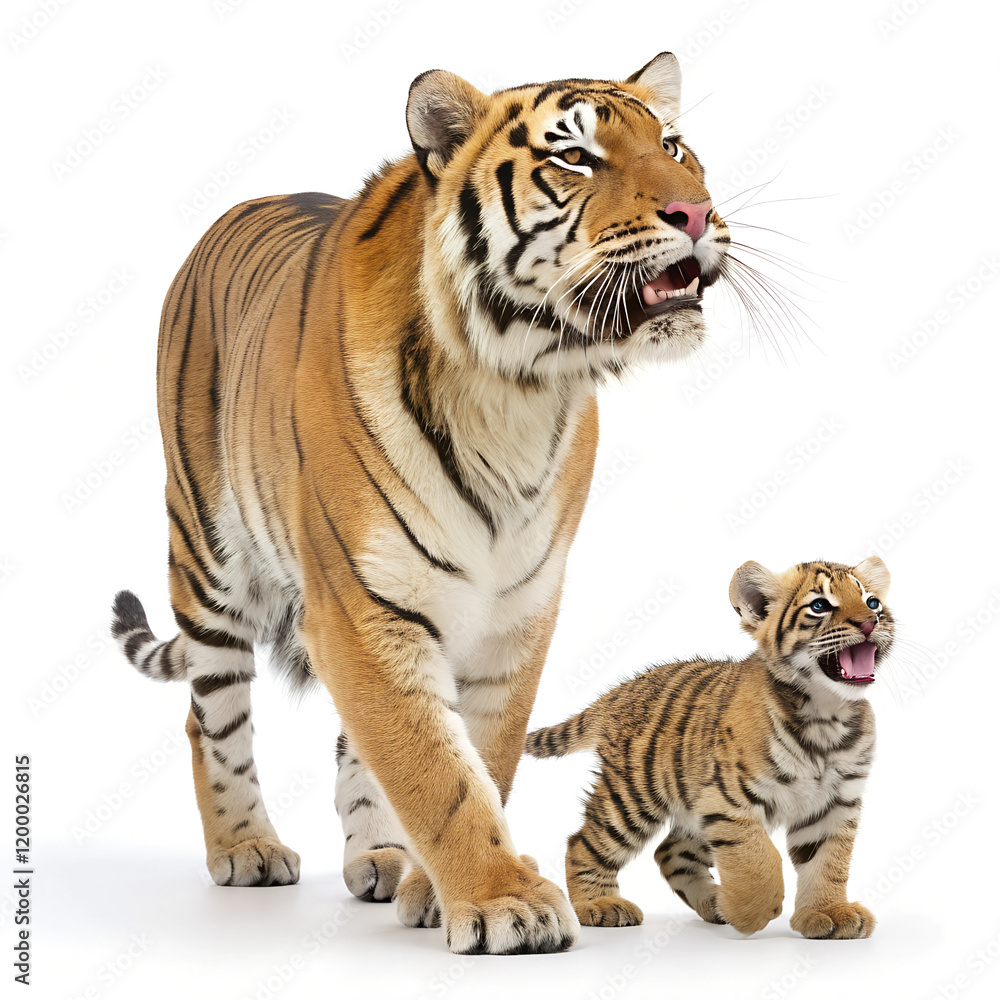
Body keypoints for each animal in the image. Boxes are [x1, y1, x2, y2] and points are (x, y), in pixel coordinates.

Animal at [109, 53, 732, 955]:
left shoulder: (517, 609)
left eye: (675, 146)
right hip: (208, 559)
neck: (516, 386)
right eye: (575, 158)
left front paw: (440, 890)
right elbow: (433, 767)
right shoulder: (361, 604)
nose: (698, 213)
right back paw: (247, 847)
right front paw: (505, 902)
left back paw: (381, 860)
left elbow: (478, 753)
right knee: (212, 717)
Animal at [525, 556, 893, 939]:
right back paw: (599, 905)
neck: (826, 714)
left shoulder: (834, 803)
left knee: (669, 852)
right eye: (820, 606)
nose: (870, 622)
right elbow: (759, 859)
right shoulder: (727, 800)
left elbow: (827, 863)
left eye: (872, 602)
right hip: (631, 798)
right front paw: (750, 913)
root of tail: (619, 689)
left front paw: (828, 913)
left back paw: (714, 903)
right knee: (583, 843)